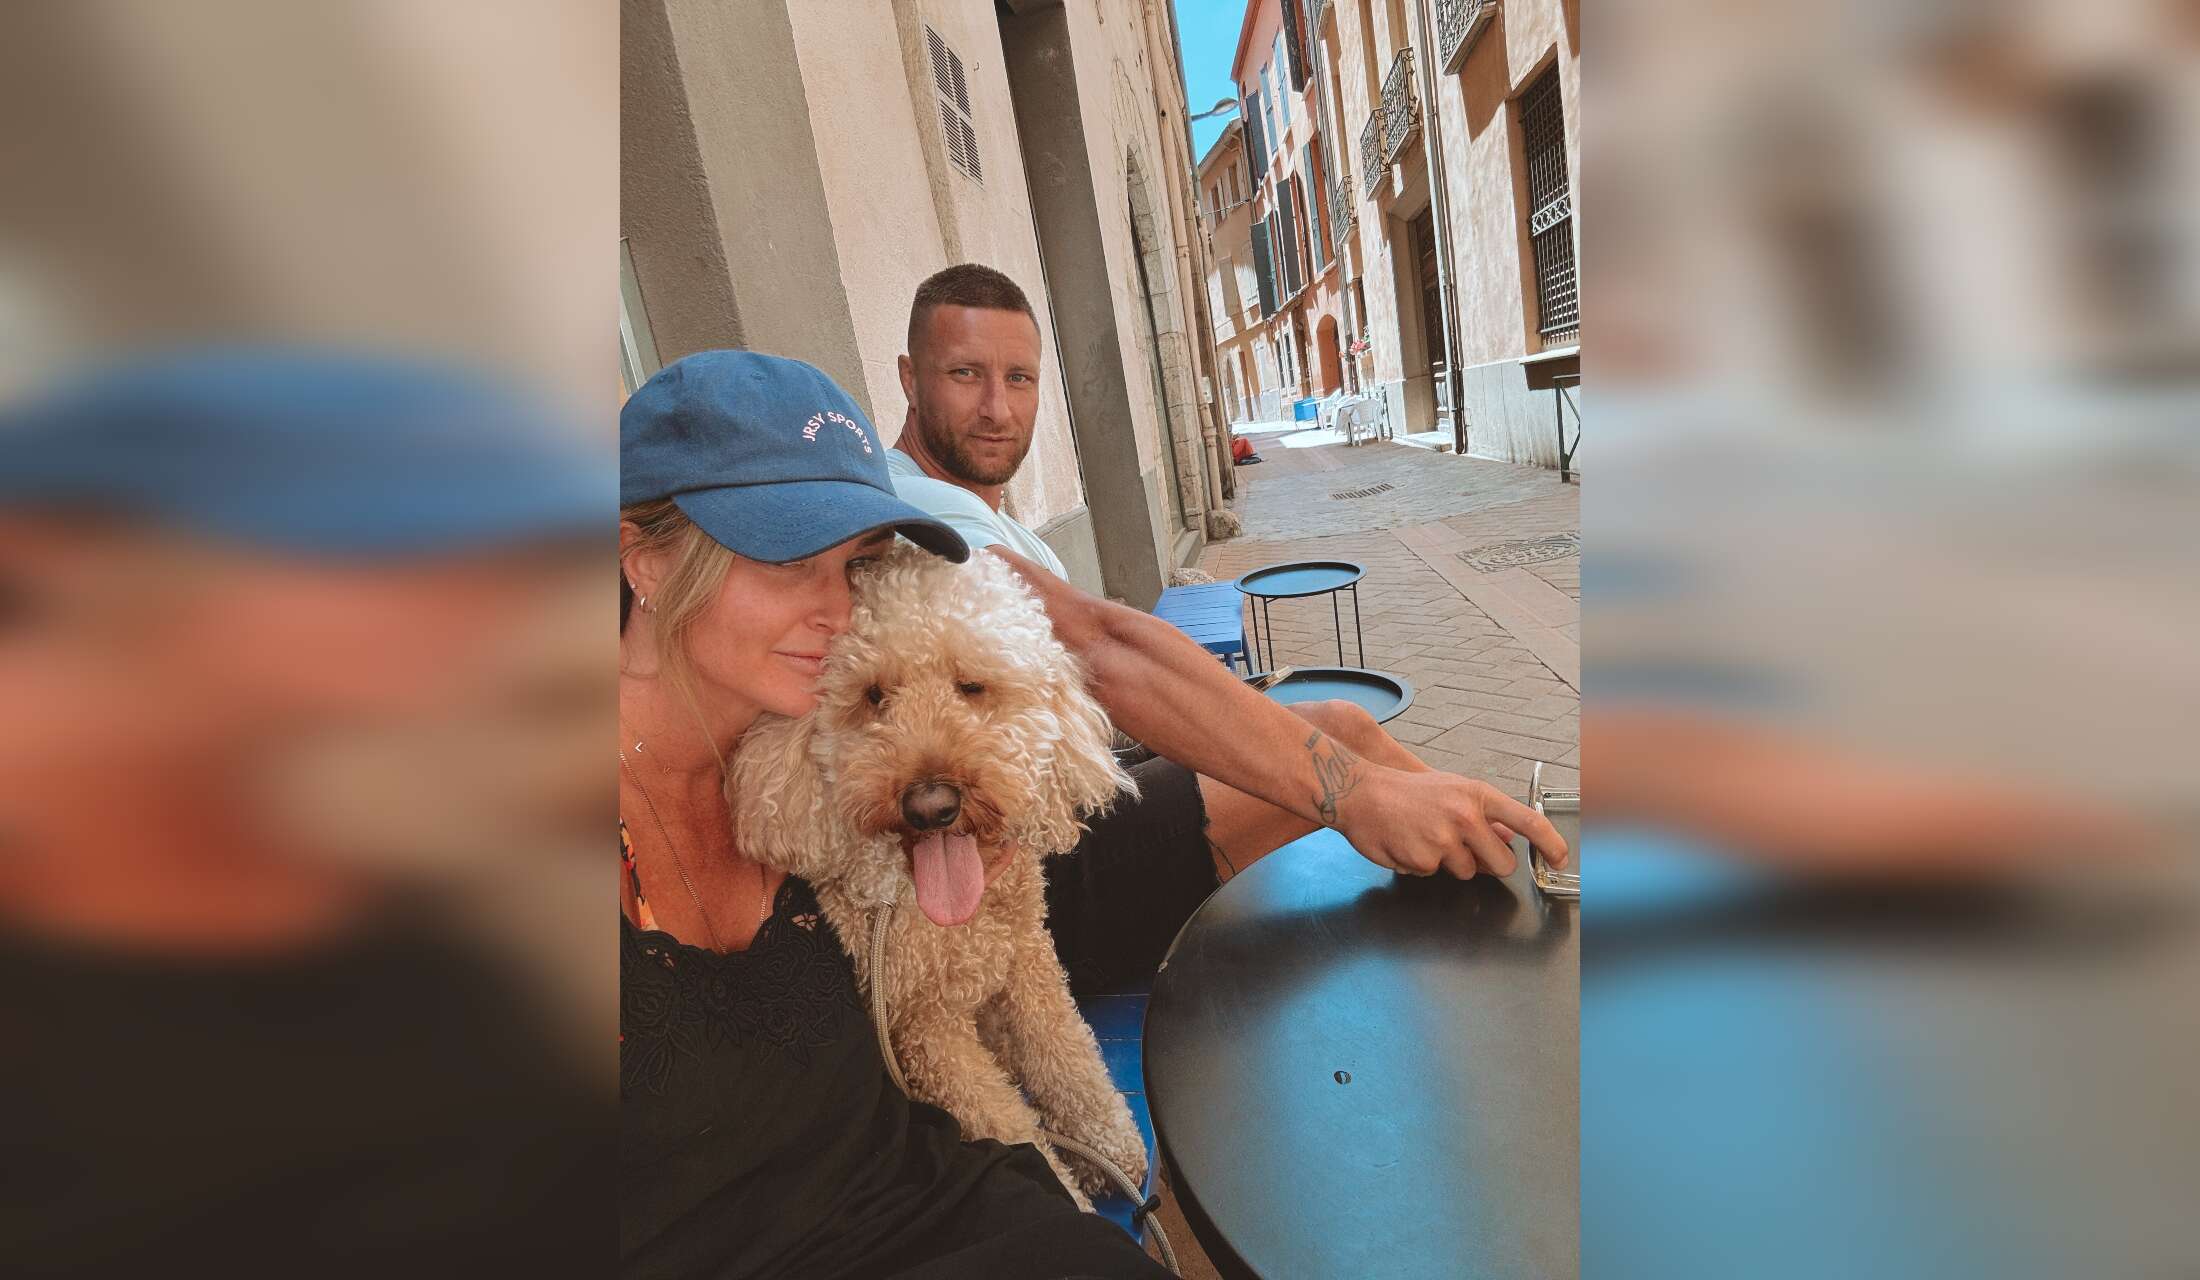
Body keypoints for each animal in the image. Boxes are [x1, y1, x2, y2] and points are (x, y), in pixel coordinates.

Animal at [732, 543, 1149, 1208]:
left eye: (971, 685)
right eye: (874, 695)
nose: (931, 806)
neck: (950, 923)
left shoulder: (1027, 961)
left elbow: (1065, 1052)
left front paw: (1107, 1147)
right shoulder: (924, 1030)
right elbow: (1009, 1126)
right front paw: (1077, 1188)